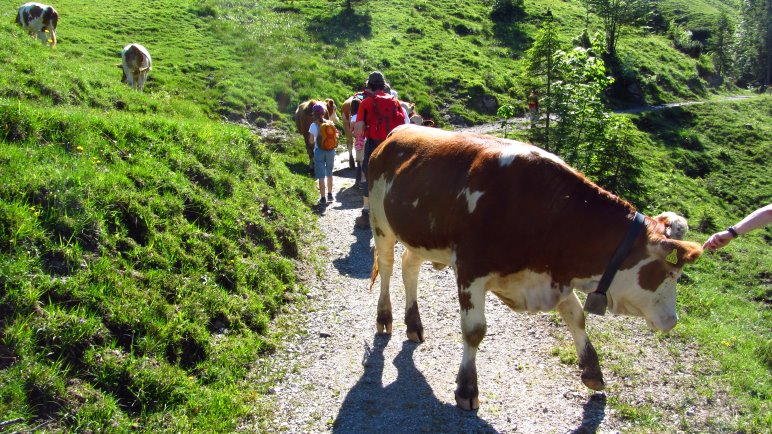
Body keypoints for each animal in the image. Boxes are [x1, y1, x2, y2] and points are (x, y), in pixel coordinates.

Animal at [368, 124, 704, 410]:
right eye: (669, 273)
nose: (672, 321)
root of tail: (400, 130)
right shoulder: (471, 271)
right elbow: (474, 331)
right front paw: (466, 389)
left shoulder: (554, 274)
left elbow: (576, 317)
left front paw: (592, 371)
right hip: (381, 223)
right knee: (387, 267)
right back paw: (385, 318)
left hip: (420, 238)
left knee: (409, 267)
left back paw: (414, 324)